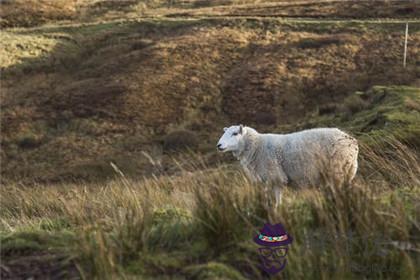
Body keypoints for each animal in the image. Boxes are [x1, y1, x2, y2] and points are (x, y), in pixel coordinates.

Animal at [217, 124, 358, 206]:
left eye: (235, 133)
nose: (219, 145)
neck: (257, 146)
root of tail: (352, 141)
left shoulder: (275, 177)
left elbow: (276, 199)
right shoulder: (271, 179)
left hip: (338, 169)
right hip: (347, 170)